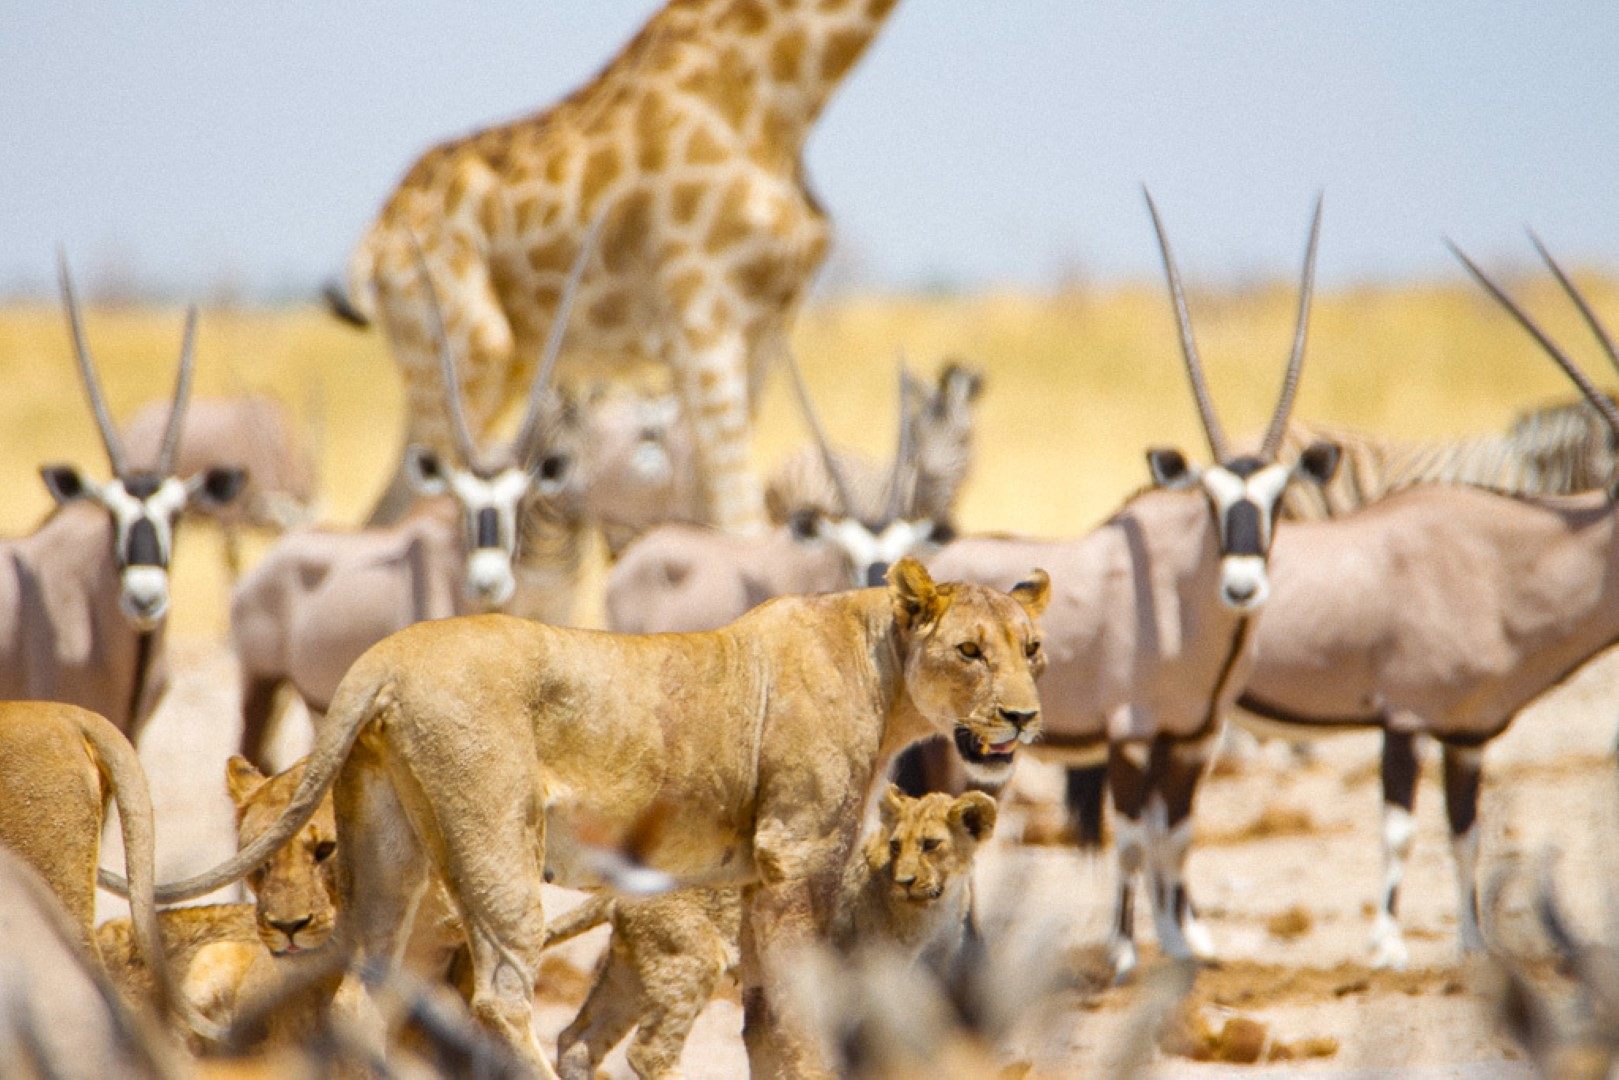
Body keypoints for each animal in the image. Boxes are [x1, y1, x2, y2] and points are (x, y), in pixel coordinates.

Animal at [333, 0, 906, 537]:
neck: (781, 95)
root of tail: (376, 238)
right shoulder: (700, 319)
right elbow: (738, 521)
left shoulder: (765, 327)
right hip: (469, 352)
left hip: (488, 366)